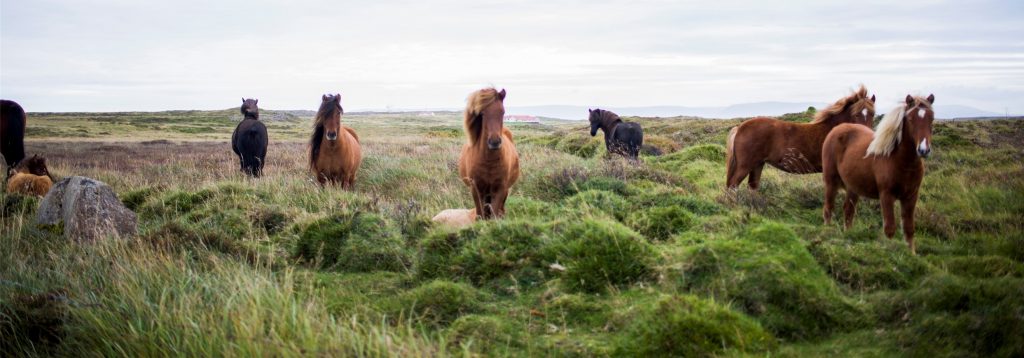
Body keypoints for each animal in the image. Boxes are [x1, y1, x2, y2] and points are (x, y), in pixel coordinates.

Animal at [458, 87, 520, 219]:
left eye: (502, 112)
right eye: (482, 113)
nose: (494, 142)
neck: (488, 161)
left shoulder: (500, 189)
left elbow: (494, 215)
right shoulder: (476, 189)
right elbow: (480, 215)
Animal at [724, 85, 876, 189]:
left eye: (872, 114)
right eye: (856, 114)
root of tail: (739, 127)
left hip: (757, 164)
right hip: (745, 165)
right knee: (733, 185)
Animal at [823, 93, 937, 252]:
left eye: (931, 118)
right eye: (910, 119)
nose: (923, 150)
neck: (902, 162)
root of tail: (836, 129)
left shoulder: (911, 197)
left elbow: (909, 228)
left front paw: (911, 254)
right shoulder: (886, 196)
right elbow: (889, 228)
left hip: (853, 188)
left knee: (848, 211)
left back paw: (848, 235)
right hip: (831, 182)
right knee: (829, 208)